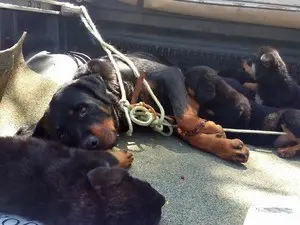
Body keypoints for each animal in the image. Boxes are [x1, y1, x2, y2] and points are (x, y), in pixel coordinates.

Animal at [22, 51, 250, 163]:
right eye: (62, 134)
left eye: (83, 109)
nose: (90, 144)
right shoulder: (164, 118)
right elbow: (188, 130)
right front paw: (225, 145)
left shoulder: (169, 75)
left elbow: (185, 118)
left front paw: (213, 131)